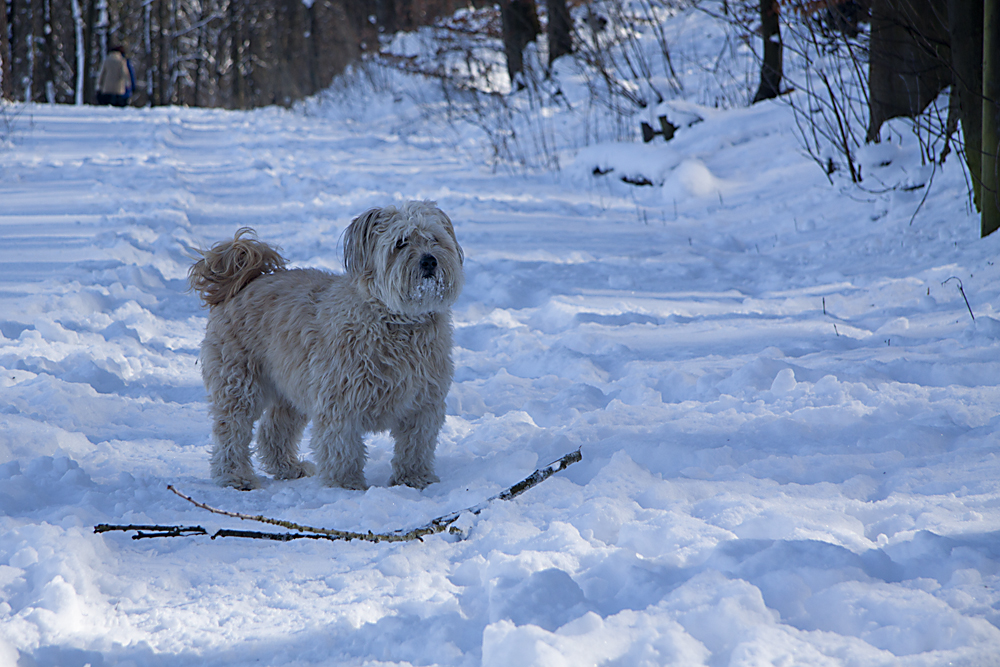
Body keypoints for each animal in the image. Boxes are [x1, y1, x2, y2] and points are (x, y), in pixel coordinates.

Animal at [188, 201, 464, 488]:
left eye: (434, 239)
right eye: (401, 242)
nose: (429, 260)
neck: (397, 321)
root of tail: (241, 280)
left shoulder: (423, 404)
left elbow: (416, 446)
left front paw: (415, 479)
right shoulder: (340, 401)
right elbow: (342, 448)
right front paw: (346, 485)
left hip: (291, 389)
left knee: (272, 431)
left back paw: (289, 467)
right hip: (238, 383)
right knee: (231, 431)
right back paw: (235, 476)